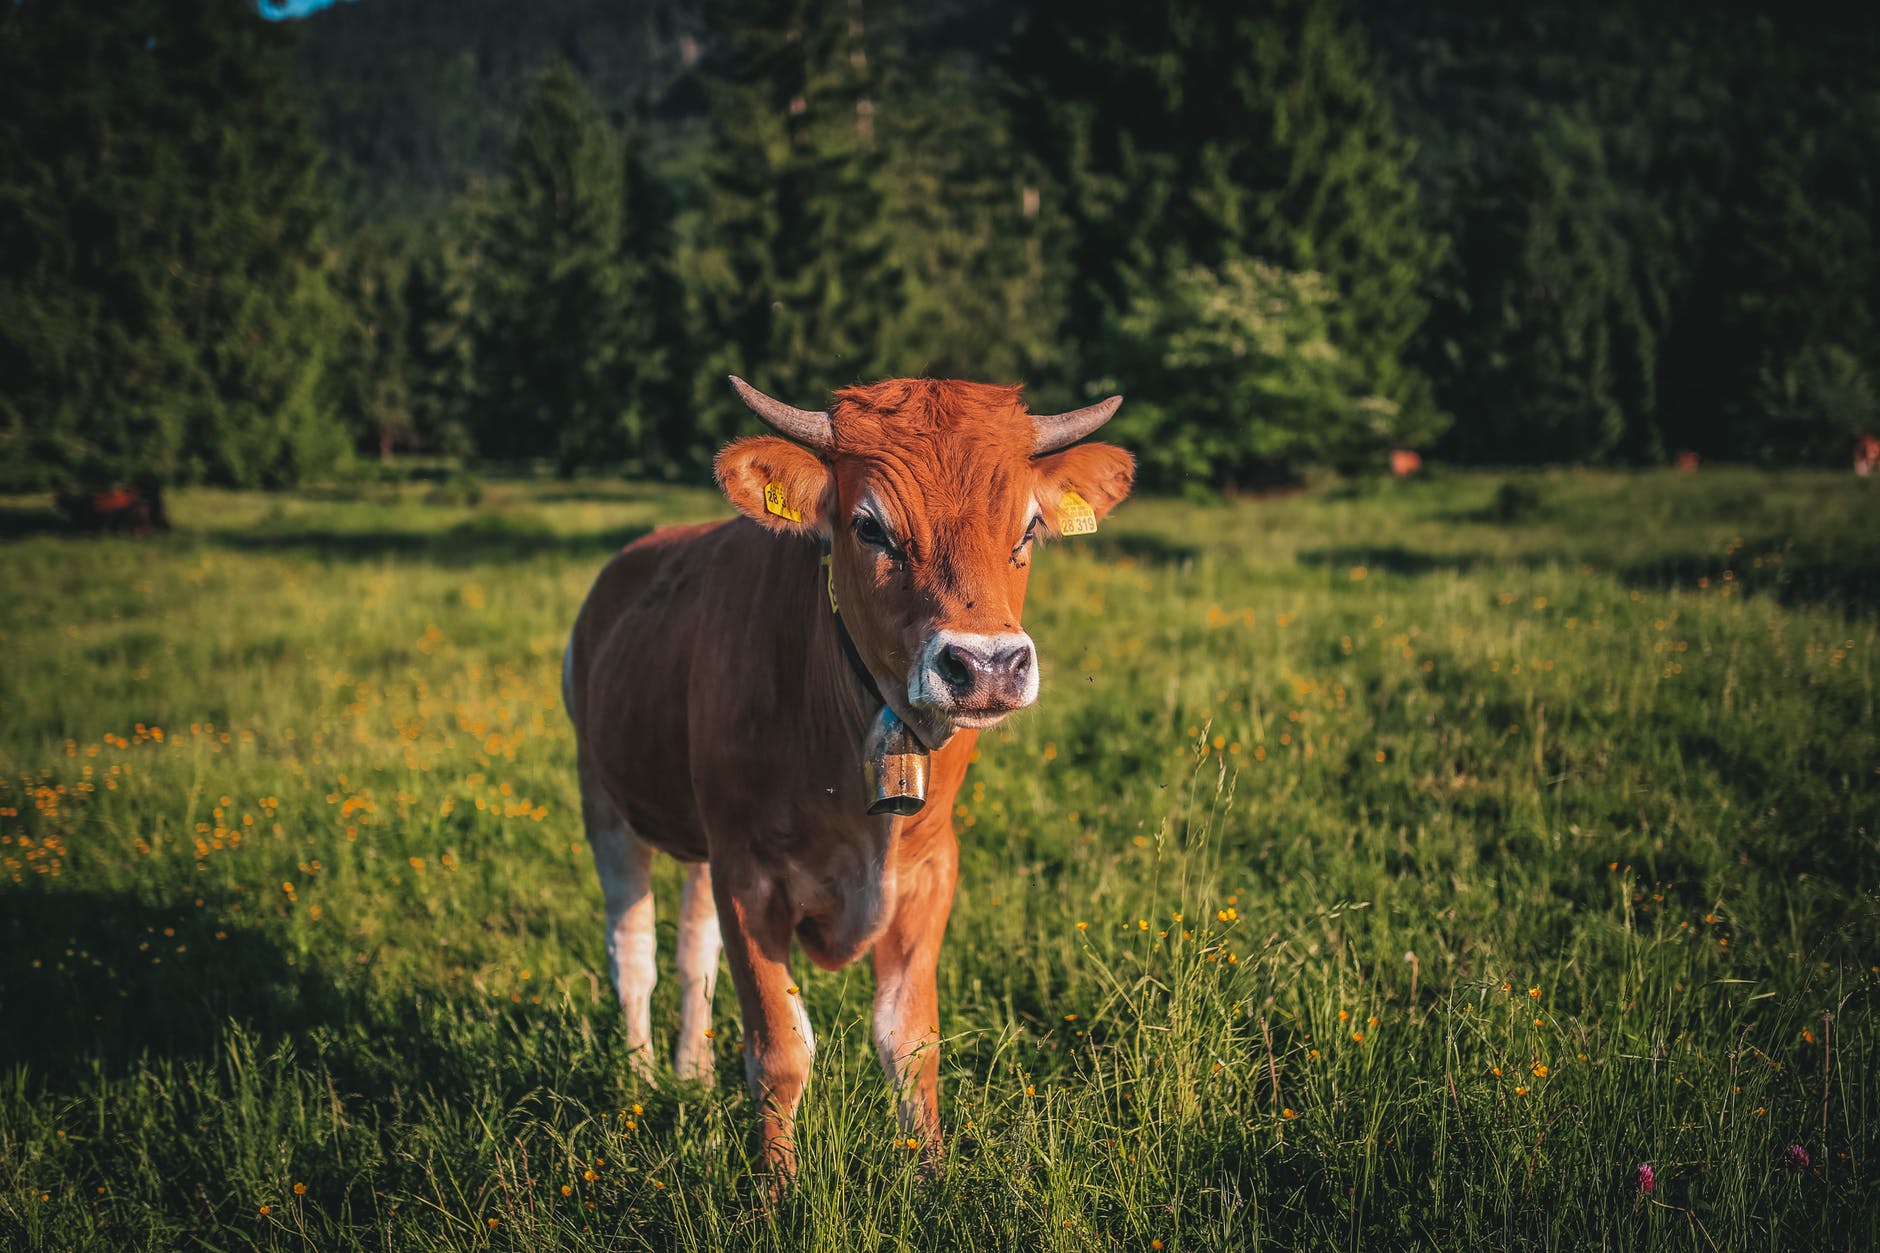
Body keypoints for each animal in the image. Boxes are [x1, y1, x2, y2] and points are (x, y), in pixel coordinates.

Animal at [561, 375, 1134, 1176]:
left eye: (1026, 529)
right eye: (870, 528)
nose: (987, 666)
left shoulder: (929, 870)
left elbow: (910, 1040)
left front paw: (934, 1177)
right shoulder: (749, 874)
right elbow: (779, 1049)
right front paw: (775, 1188)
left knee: (692, 950)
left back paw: (689, 1074)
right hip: (603, 798)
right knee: (633, 949)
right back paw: (642, 1080)